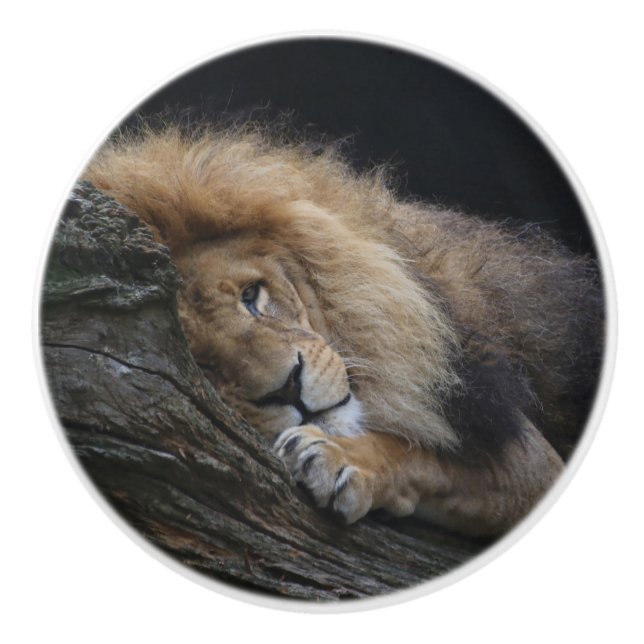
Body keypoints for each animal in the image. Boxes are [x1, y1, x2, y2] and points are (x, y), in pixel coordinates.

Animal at [84, 124, 604, 537]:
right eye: (203, 364)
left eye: (252, 296)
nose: (289, 388)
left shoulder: (528, 453)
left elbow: (422, 455)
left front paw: (339, 457)